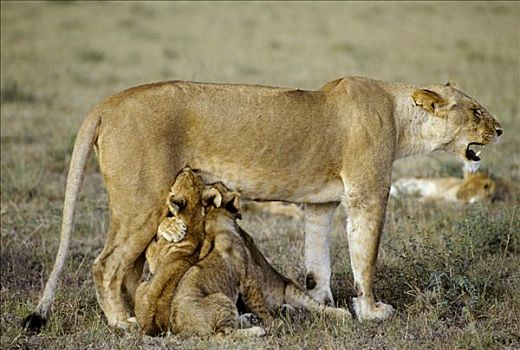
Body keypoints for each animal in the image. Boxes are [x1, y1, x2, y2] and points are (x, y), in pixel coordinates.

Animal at [25, 76, 504, 330]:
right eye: (476, 111)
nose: (499, 130)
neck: (402, 118)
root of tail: (107, 102)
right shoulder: (368, 193)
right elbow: (364, 258)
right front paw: (371, 312)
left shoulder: (320, 206)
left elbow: (317, 263)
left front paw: (322, 304)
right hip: (141, 200)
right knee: (105, 265)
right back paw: (121, 323)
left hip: (145, 206)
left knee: (128, 266)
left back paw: (133, 314)